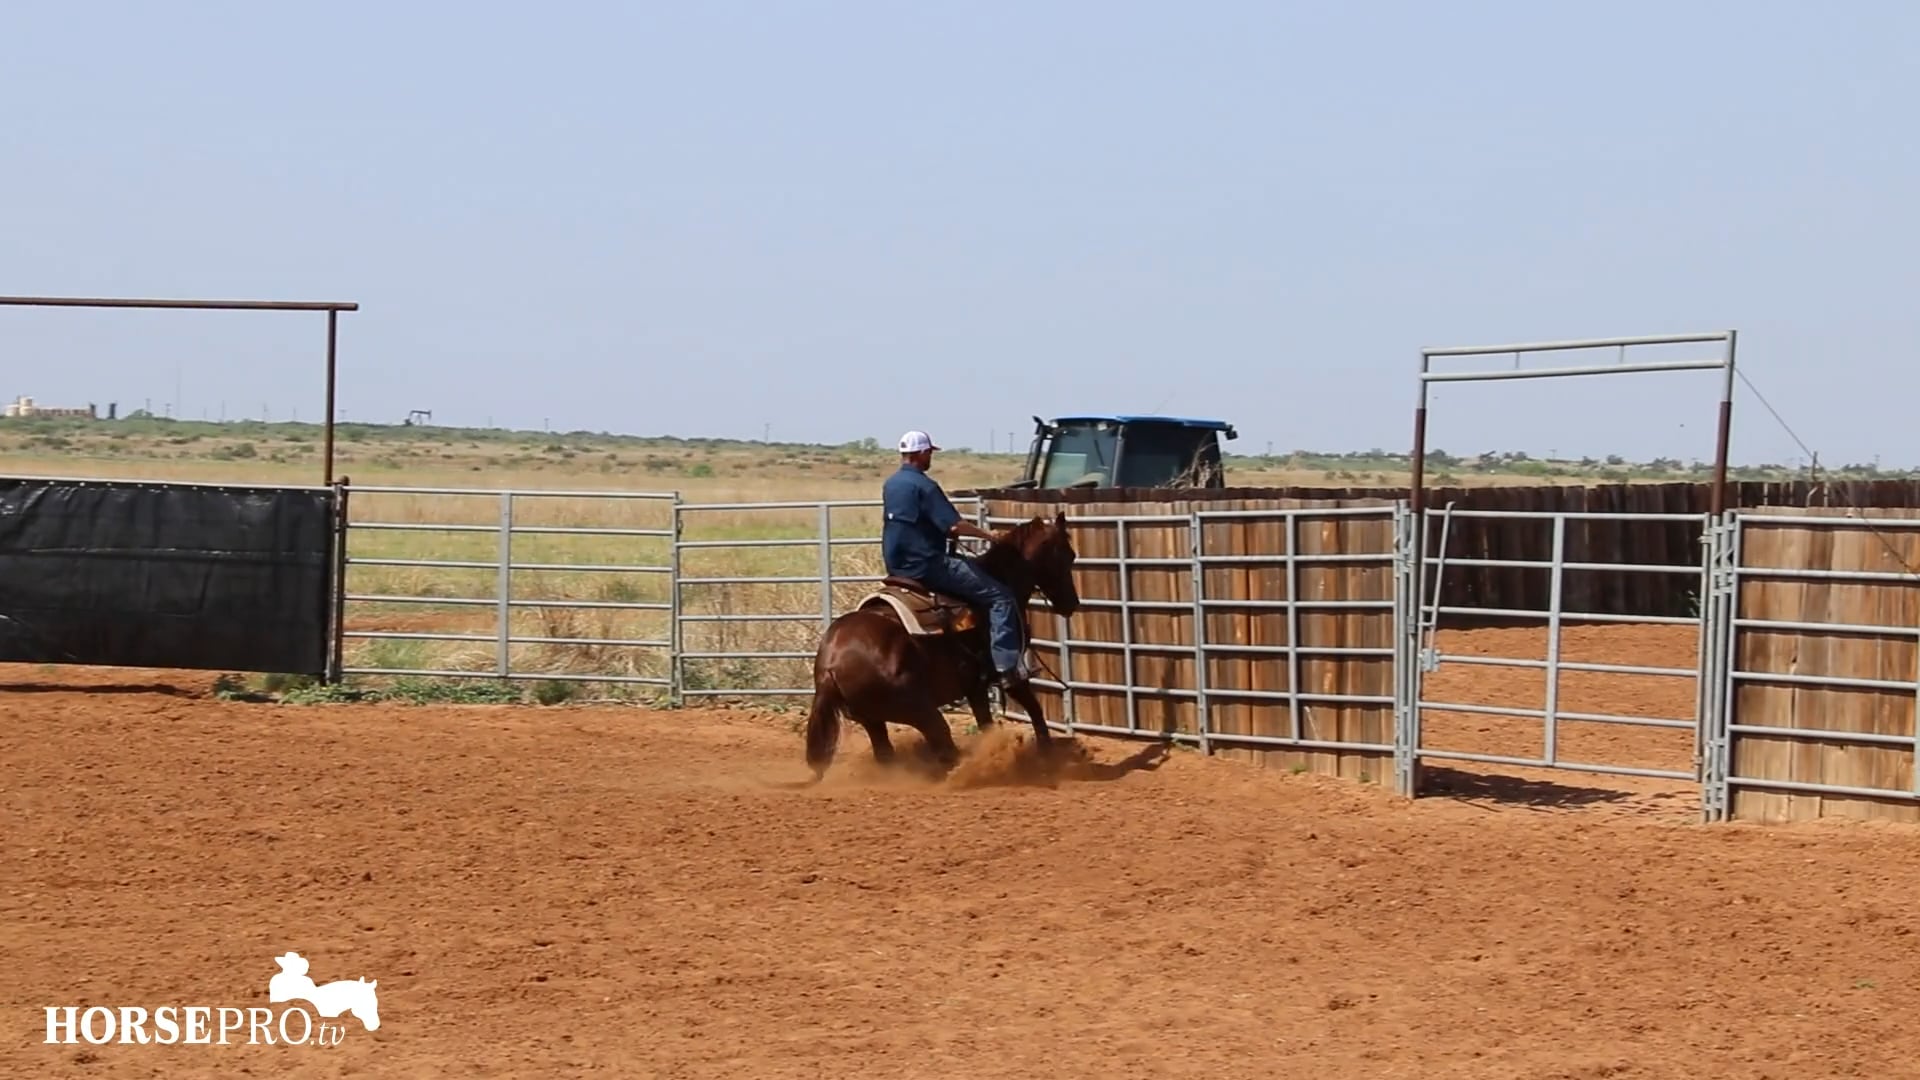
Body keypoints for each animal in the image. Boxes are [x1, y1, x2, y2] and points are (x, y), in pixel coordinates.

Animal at [802, 512, 1082, 778]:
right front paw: (1046, 755)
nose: (1072, 603)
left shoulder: (975, 686)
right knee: (944, 746)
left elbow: (987, 723)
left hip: (872, 719)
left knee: (888, 753)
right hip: (921, 711)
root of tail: (830, 664)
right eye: (1067, 556)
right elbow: (1034, 709)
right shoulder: (1008, 673)